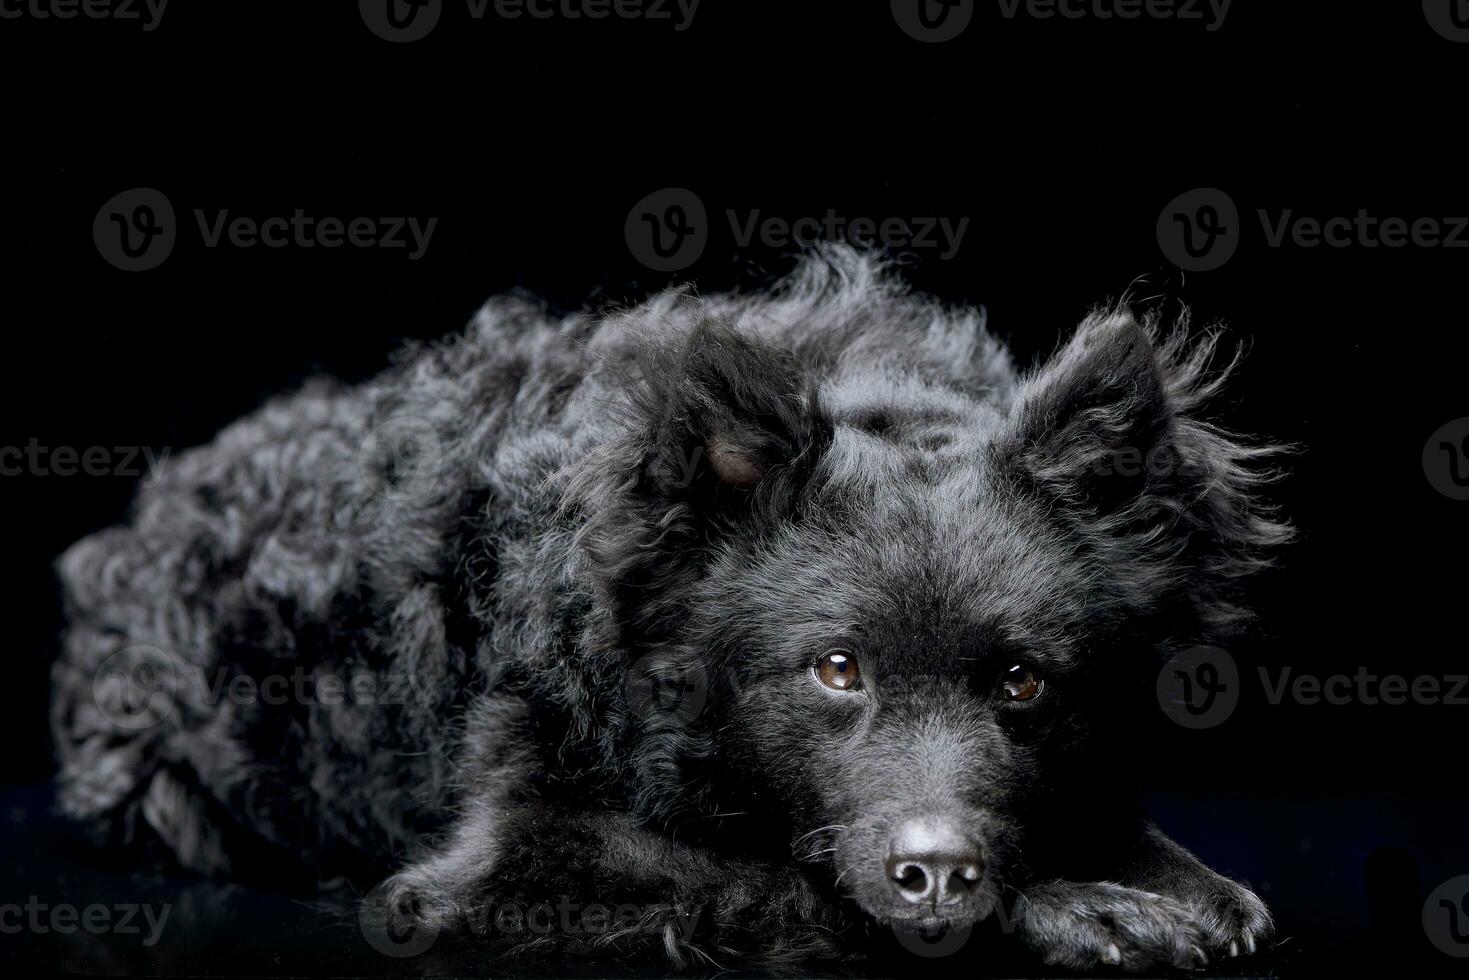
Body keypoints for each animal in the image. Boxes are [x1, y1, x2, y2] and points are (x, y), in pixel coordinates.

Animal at [48, 249, 1286, 969]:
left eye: (1023, 681)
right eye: (836, 668)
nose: (935, 871)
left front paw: (1178, 886)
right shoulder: (501, 862)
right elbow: (774, 876)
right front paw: (1087, 911)